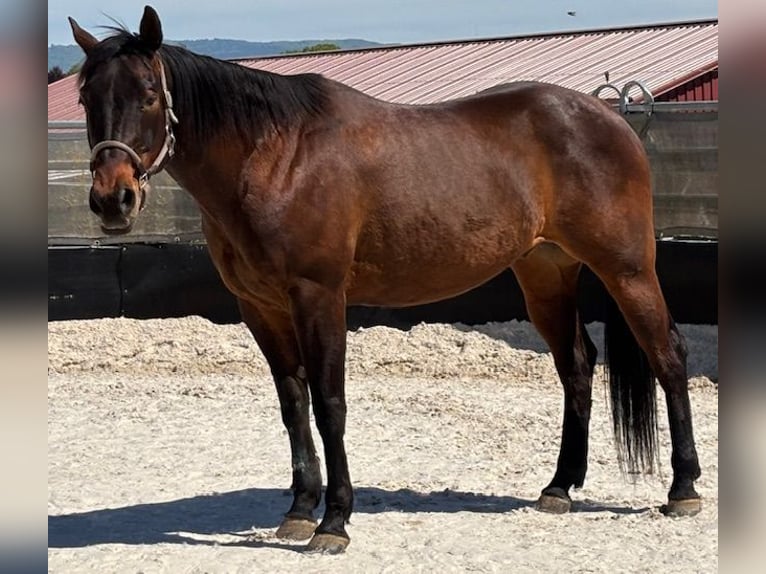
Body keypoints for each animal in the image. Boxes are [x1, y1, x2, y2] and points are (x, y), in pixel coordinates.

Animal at [68, 5, 701, 553]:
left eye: (149, 94)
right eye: (85, 96)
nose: (112, 200)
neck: (276, 156)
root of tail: (610, 116)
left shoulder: (319, 296)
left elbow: (329, 403)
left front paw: (335, 522)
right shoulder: (259, 307)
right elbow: (293, 404)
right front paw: (299, 511)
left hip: (627, 269)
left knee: (668, 356)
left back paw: (683, 489)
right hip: (546, 272)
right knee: (576, 366)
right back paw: (559, 487)